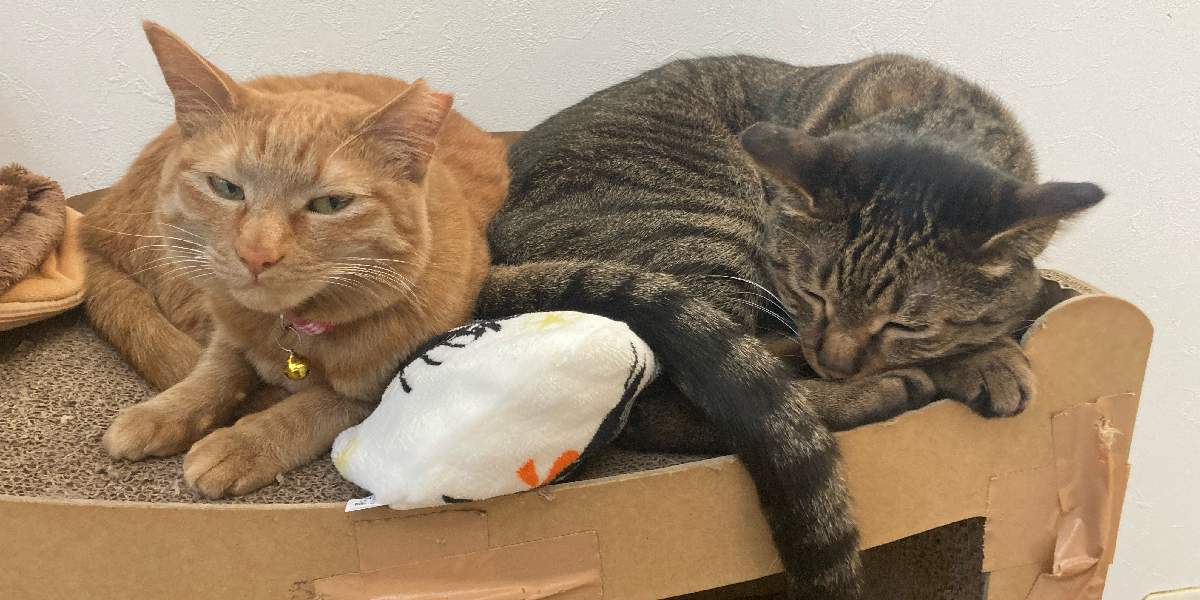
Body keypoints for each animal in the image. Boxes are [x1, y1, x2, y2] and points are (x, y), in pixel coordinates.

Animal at [82, 22, 508, 498]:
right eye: (226, 188)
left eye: (330, 204)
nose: (256, 253)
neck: (293, 334)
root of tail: (89, 228)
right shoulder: (225, 321)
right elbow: (216, 368)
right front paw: (163, 412)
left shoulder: (376, 394)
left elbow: (312, 408)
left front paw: (241, 443)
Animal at [476, 54, 1103, 599]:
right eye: (813, 293)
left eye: (905, 322)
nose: (838, 362)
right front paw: (988, 358)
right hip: (705, 229)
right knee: (694, 393)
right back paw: (884, 390)